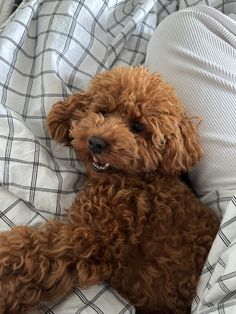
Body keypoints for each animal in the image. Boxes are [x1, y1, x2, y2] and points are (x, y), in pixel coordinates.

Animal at [0, 65, 219, 312]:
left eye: (137, 126)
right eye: (102, 111)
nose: (96, 142)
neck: (133, 180)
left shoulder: (87, 239)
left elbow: (33, 253)